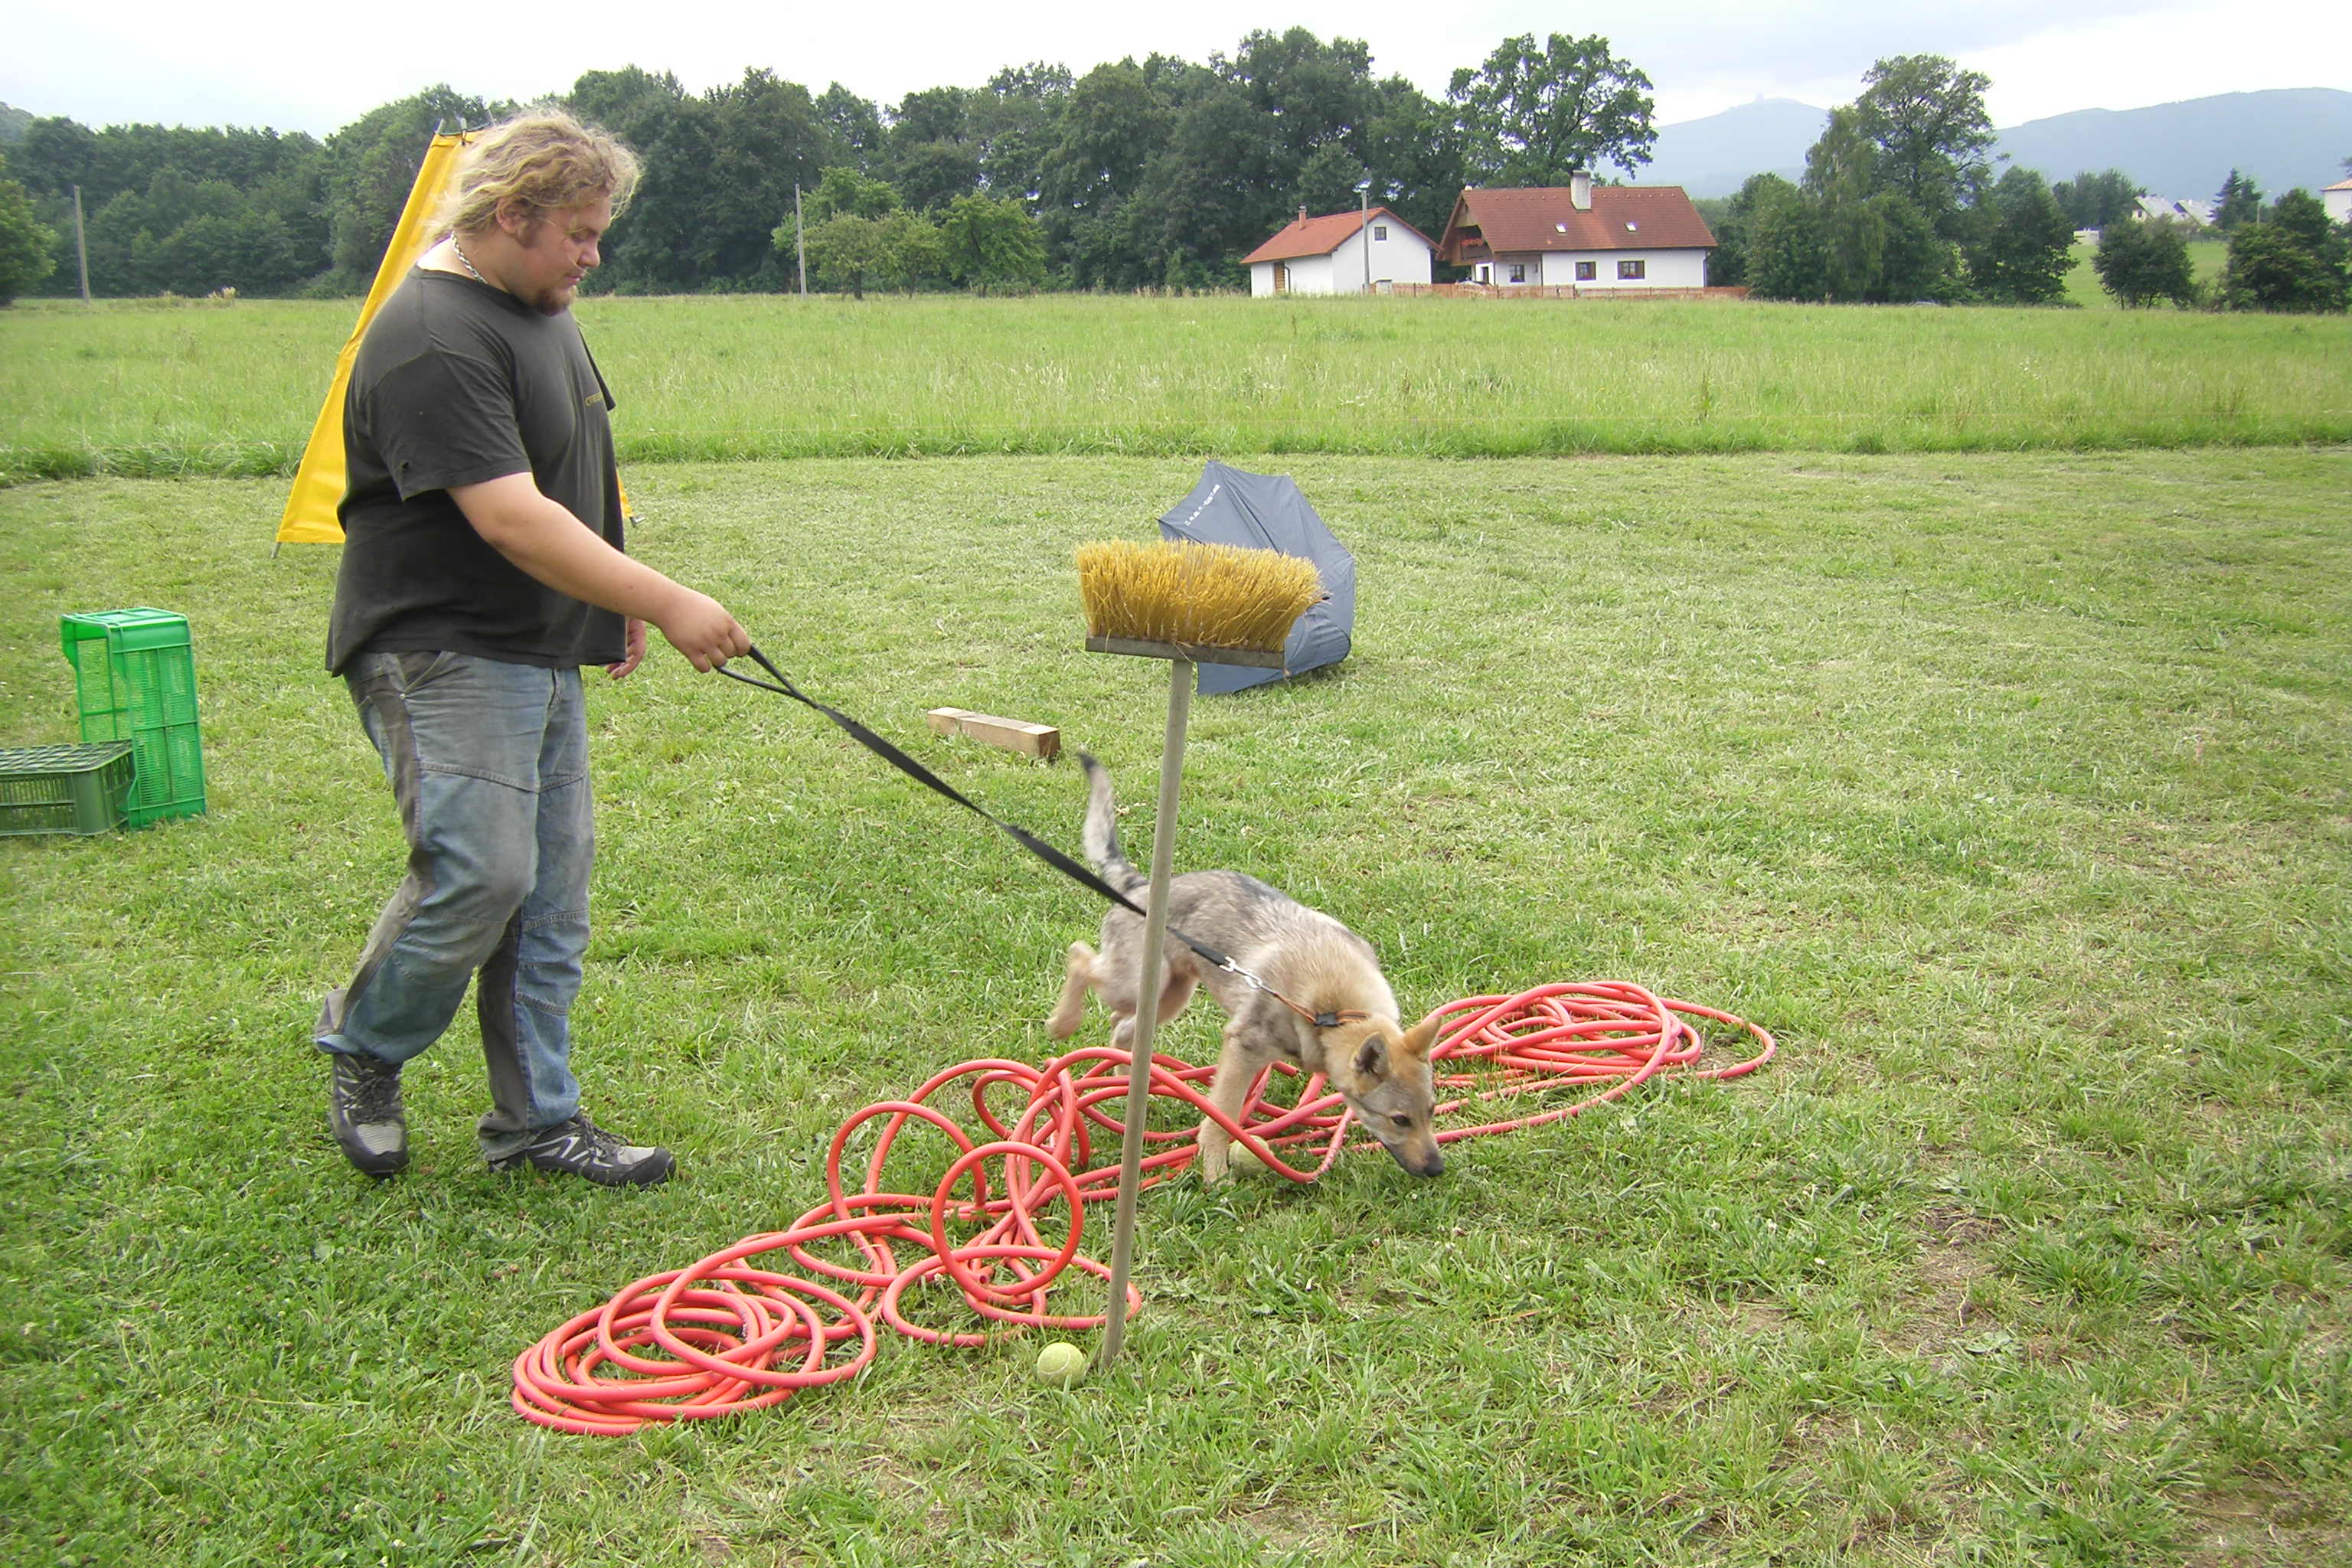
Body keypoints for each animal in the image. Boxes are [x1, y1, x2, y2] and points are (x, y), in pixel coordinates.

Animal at [1054, 752, 1449, 1184]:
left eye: (1431, 1112)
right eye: (1399, 1120)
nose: (1437, 1168)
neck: (1333, 1010)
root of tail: (1139, 887)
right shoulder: (1242, 1049)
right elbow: (1222, 1117)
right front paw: (1214, 1173)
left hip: (1167, 997)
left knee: (1122, 1028)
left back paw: (1126, 1092)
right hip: (1135, 985)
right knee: (1080, 957)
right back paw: (1064, 1024)